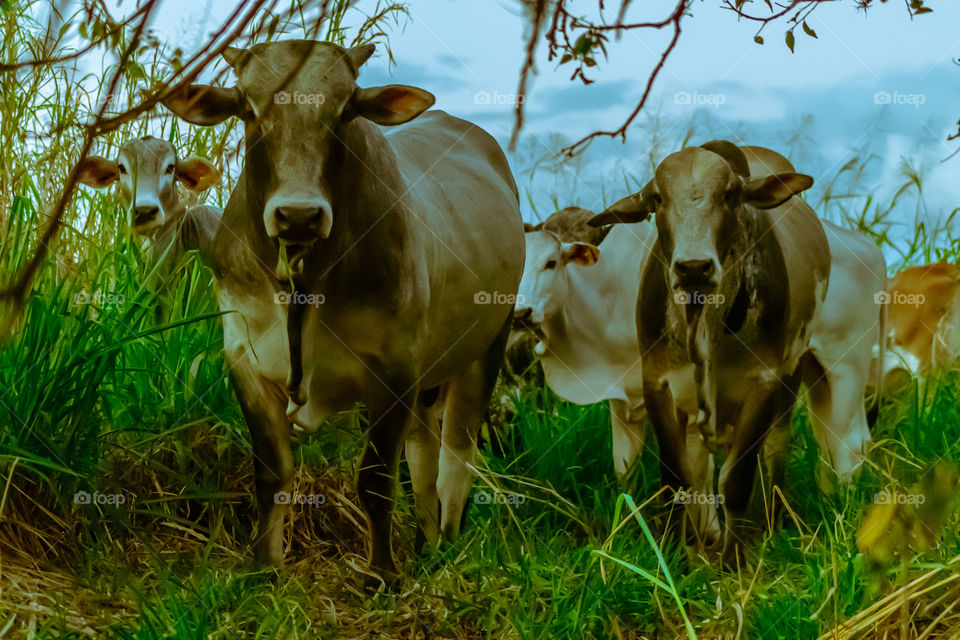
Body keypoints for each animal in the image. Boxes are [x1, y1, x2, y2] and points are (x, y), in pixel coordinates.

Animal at [164, 37, 524, 584]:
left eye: (344, 112)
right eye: (248, 109)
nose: (298, 215)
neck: (304, 284)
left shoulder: (394, 371)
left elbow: (375, 482)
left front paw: (382, 575)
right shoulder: (245, 361)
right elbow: (272, 474)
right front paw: (264, 566)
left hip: (487, 348)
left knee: (454, 459)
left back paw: (447, 545)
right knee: (423, 455)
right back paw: (426, 547)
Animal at [584, 141, 876, 560]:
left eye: (730, 195)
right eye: (657, 198)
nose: (693, 267)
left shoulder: (763, 384)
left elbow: (737, 479)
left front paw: (735, 558)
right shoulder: (657, 383)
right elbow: (676, 478)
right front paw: (672, 553)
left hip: (795, 375)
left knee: (778, 450)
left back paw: (769, 521)